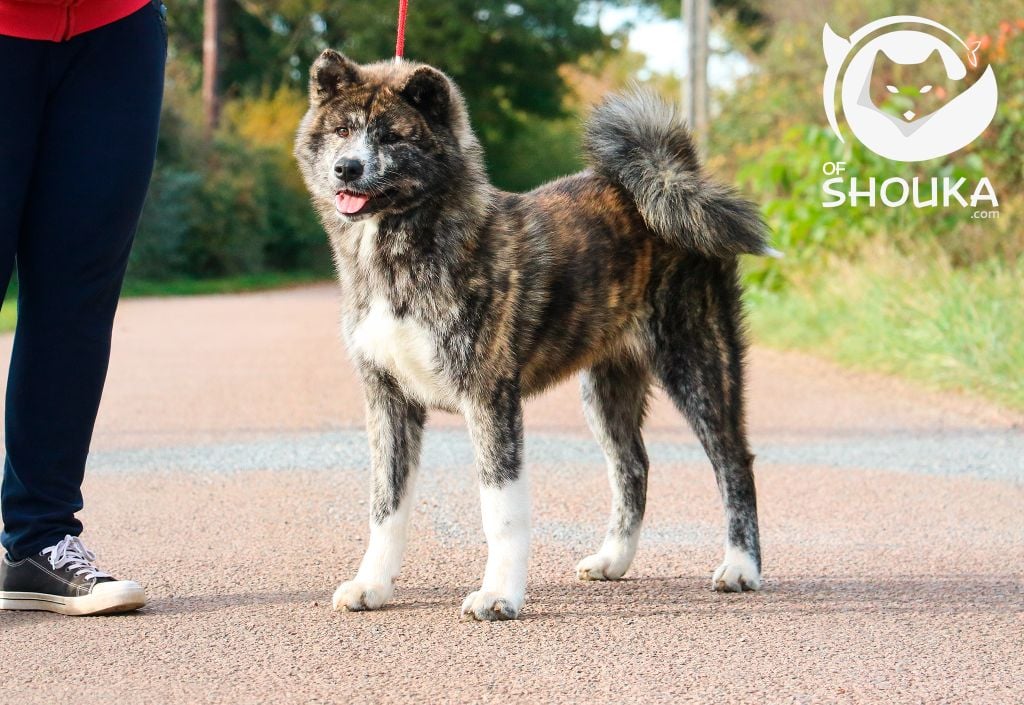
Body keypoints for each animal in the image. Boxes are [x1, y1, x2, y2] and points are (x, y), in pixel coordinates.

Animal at [295, 49, 771, 621]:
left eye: (391, 136)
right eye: (343, 130)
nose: (347, 168)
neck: (402, 251)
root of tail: (671, 176)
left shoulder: (489, 399)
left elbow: (500, 509)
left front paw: (499, 594)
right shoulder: (388, 400)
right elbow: (385, 505)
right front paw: (373, 584)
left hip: (697, 364)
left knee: (733, 463)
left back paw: (741, 567)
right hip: (606, 389)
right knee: (631, 467)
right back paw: (613, 559)